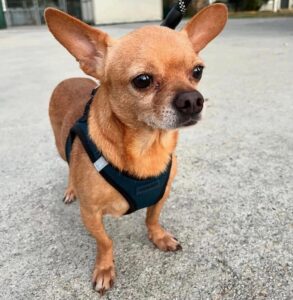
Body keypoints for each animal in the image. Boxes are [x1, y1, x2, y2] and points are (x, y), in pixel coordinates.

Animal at [45, 4, 228, 294]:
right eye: (142, 80)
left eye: (198, 71)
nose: (193, 100)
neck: (146, 147)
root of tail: (70, 78)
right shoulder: (90, 215)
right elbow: (105, 241)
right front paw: (105, 268)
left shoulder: (161, 196)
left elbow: (151, 219)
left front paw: (159, 237)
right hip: (61, 147)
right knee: (68, 165)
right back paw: (71, 188)